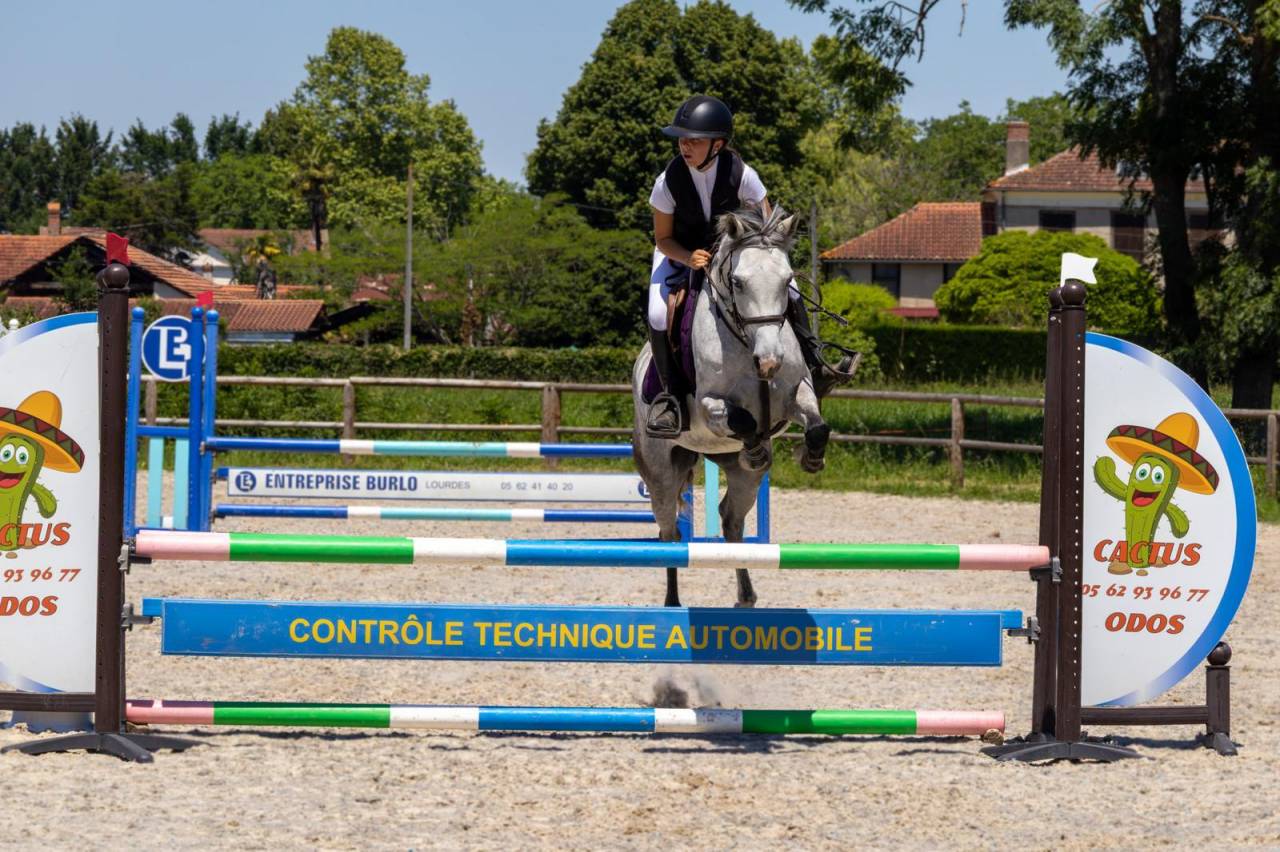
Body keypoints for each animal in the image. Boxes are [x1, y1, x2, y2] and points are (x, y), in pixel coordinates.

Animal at [631, 205, 832, 608]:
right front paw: (755, 448)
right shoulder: (709, 408)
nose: (769, 362)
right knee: (668, 532)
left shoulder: (797, 393)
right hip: (659, 470)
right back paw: (672, 603)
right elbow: (742, 419)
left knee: (731, 520)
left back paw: (746, 596)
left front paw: (810, 458)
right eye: (738, 283)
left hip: (736, 475)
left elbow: (817, 425)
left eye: (788, 281)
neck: (747, 339)